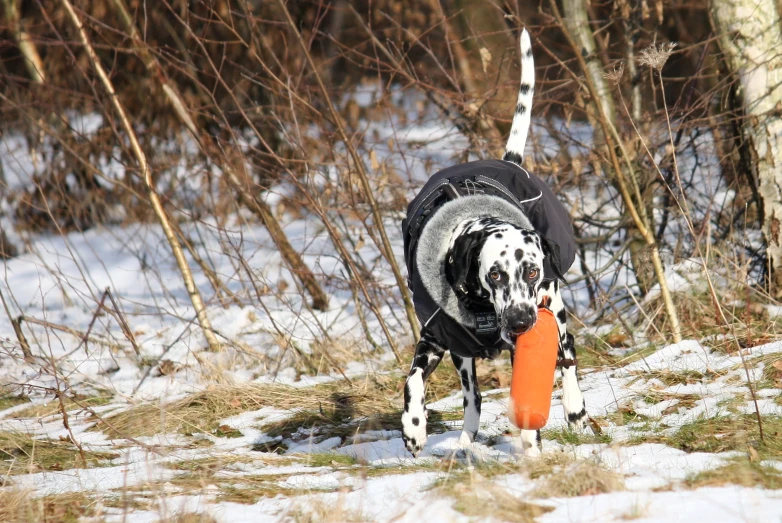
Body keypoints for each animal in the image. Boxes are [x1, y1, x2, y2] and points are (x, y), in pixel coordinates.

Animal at [404, 30, 588, 458]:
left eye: (533, 271)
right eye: (496, 275)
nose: (520, 322)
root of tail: (510, 161)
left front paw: (533, 451)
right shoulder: (435, 341)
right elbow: (413, 381)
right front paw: (414, 426)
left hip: (556, 316)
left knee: (569, 358)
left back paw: (575, 410)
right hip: (464, 358)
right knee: (472, 398)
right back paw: (465, 441)